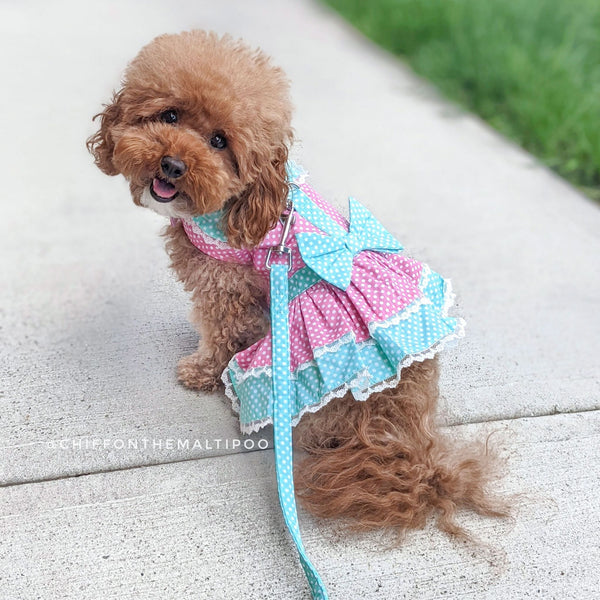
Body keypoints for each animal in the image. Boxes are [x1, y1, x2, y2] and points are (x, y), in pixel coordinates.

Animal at [86, 30, 504, 540]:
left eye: (219, 141)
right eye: (169, 115)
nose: (172, 164)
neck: (243, 202)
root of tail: (398, 423)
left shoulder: (224, 286)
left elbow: (220, 336)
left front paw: (201, 370)